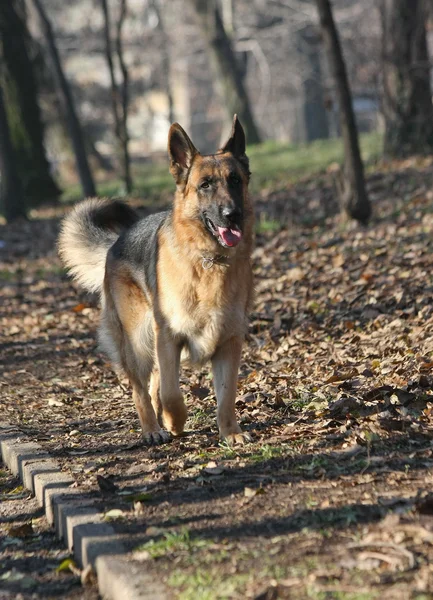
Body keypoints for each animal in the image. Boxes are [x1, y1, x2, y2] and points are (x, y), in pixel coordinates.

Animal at [58, 116, 253, 446]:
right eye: (205, 185)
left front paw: (231, 433)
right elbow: (172, 393)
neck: (208, 260)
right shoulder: (169, 337)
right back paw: (152, 428)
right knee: (141, 388)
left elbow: (226, 397)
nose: (233, 214)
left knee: (152, 385)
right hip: (139, 340)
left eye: (235, 181)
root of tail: (116, 243)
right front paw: (175, 421)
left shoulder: (229, 341)